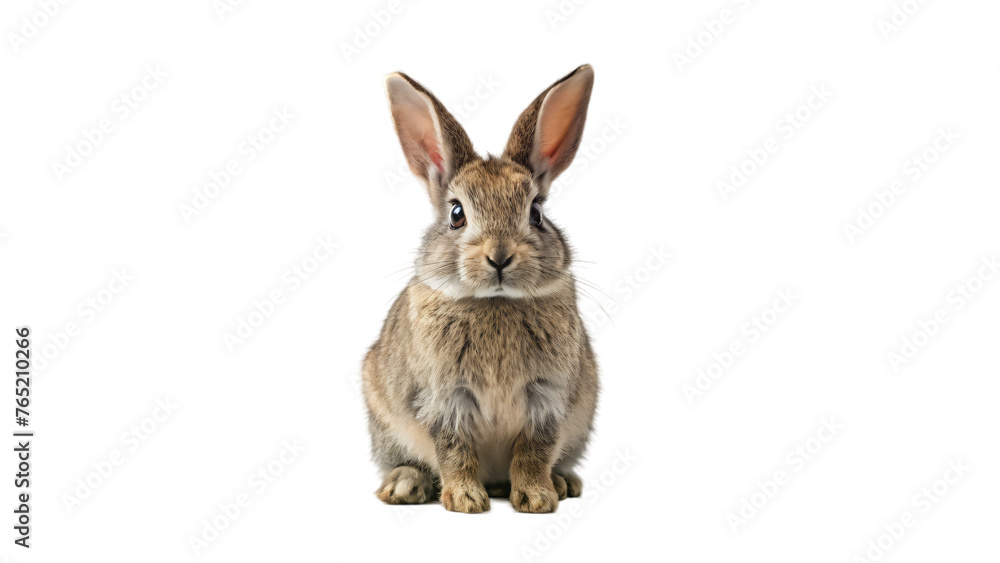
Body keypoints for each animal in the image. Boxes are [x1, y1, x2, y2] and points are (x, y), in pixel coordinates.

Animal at [363, 65, 599, 513]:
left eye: (536, 213)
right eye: (457, 214)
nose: (500, 256)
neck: (496, 302)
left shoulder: (547, 398)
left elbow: (534, 451)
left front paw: (537, 498)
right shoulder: (444, 399)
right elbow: (454, 449)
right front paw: (465, 500)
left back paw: (562, 482)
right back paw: (405, 486)